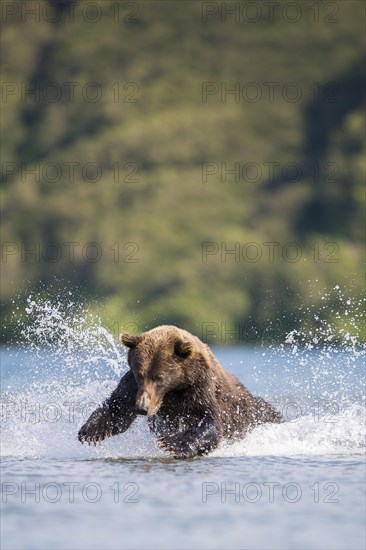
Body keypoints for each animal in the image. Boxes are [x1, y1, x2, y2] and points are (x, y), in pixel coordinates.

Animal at [78, 326, 282, 460]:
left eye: (159, 377)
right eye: (140, 373)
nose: (142, 408)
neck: (174, 389)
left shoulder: (200, 389)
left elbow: (210, 422)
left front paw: (170, 443)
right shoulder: (132, 386)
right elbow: (118, 408)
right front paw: (90, 431)